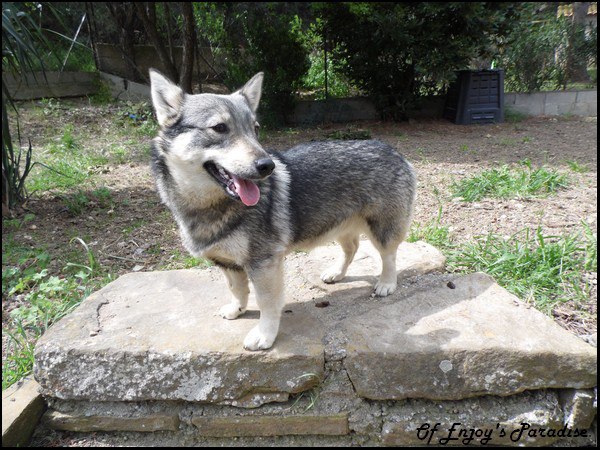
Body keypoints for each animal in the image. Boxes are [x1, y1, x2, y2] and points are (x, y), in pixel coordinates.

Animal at [149, 69, 418, 352]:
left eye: (256, 129)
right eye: (220, 128)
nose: (267, 165)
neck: (209, 206)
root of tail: (394, 151)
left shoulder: (264, 264)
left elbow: (266, 303)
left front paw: (264, 335)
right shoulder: (228, 263)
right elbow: (237, 290)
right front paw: (237, 309)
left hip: (382, 229)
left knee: (389, 256)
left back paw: (386, 283)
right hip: (339, 225)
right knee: (352, 248)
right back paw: (336, 273)